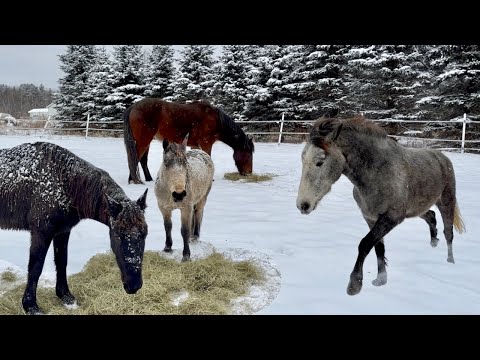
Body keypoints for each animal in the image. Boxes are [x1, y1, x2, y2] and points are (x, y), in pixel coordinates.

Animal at [0, 142, 148, 314]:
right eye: (118, 234)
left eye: (145, 233)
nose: (134, 285)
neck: (66, 182)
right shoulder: (41, 233)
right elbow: (35, 267)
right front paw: (30, 305)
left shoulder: (63, 231)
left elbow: (61, 262)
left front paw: (65, 295)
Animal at [122, 97, 253, 184]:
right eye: (248, 156)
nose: (249, 173)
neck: (216, 120)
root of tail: (133, 107)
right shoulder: (206, 143)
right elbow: (208, 158)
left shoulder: (195, 145)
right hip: (143, 140)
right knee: (135, 158)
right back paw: (135, 180)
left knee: (142, 160)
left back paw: (147, 179)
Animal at [296, 117, 464, 296]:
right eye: (303, 160)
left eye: (320, 162)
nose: (303, 205)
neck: (377, 172)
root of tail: (442, 157)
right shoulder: (371, 218)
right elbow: (378, 248)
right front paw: (381, 279)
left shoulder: (391, 218)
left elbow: (364, 244)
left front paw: (355, 284)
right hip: (418, 208)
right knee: (431, 216)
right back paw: (433, 242)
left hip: (447, 202)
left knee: (448, 233)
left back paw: (450, 262)